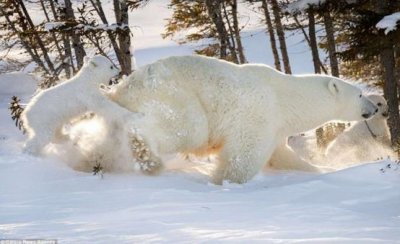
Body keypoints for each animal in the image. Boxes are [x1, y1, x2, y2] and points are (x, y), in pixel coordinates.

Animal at [104, 55, 376, 184]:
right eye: (360, 94)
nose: (374, 108)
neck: (286, 96)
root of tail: (123, 88)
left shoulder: (276, 126)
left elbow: (282, 156)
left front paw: (320, 169)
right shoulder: (258, 113)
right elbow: (244, 155)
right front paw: (224, 180)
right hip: (173, 94)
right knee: (187, 127)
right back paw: (148, 157)